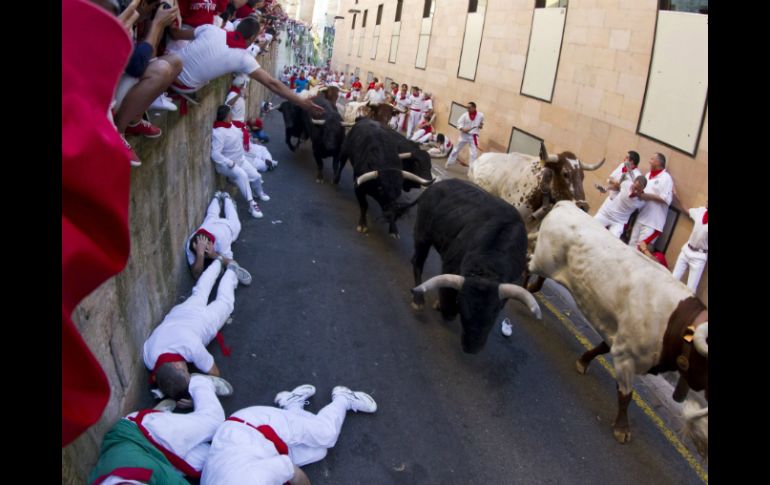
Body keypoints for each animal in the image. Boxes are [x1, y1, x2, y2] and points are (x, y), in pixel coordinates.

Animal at [408, 180, 540, 354]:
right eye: (462, 306)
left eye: (494, 314)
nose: (472, 348)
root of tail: (435, 185)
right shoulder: (449, 269)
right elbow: (449, 310)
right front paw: (440, 306)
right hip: (422, 235)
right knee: (418, 262)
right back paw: (418, 301)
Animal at [532, 199, 704, 456]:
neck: (676, 321)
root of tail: (566, 205)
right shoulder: (626, 356)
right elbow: (626, 395)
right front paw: (622, 428)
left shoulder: (620, 338)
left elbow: (601, 348)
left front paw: (583, 361)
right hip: (541, 259)